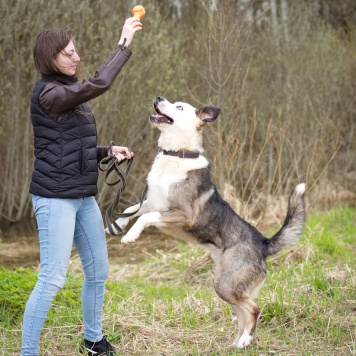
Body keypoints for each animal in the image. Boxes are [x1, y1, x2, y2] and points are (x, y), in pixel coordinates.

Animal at [108, 96, 306, 350]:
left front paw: (129, 236)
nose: (158, 98)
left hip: (226, 285)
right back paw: (236, 344)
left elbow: (143, 217)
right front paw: (115, 226)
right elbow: (128, 210)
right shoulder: (151, 202)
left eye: (179, 107)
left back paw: (245, 341)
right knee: (242, 313)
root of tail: (263, 243)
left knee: (253, 309)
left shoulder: (181, 214)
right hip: (226, 287)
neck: (177, 154)